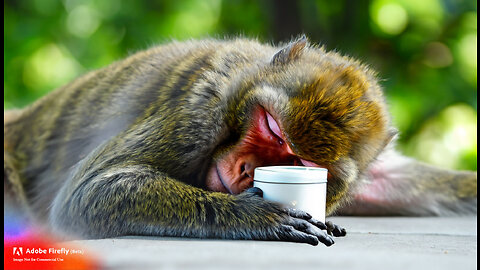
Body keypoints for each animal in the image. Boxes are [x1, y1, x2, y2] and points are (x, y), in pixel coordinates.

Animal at [3, 35, 476, 247]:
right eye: (271, 127)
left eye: (301, 162)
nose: (249, 169)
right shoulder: (197, 113)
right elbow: (88, 193)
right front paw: (257, 217)